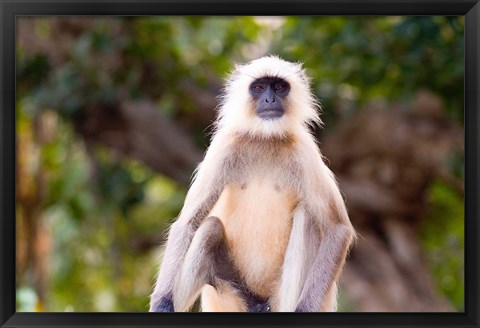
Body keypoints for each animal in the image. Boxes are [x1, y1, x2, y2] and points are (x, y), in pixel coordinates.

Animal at [150, 55, 356, 312]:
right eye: (258, 88)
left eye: (278, 87)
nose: (270, 99)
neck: (265, 139)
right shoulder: (224, 146)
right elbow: (187, 224)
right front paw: (162, 304)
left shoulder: (305, 150)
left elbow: (338, 229)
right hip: (229, 297)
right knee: (209, 228)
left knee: (306, 218)